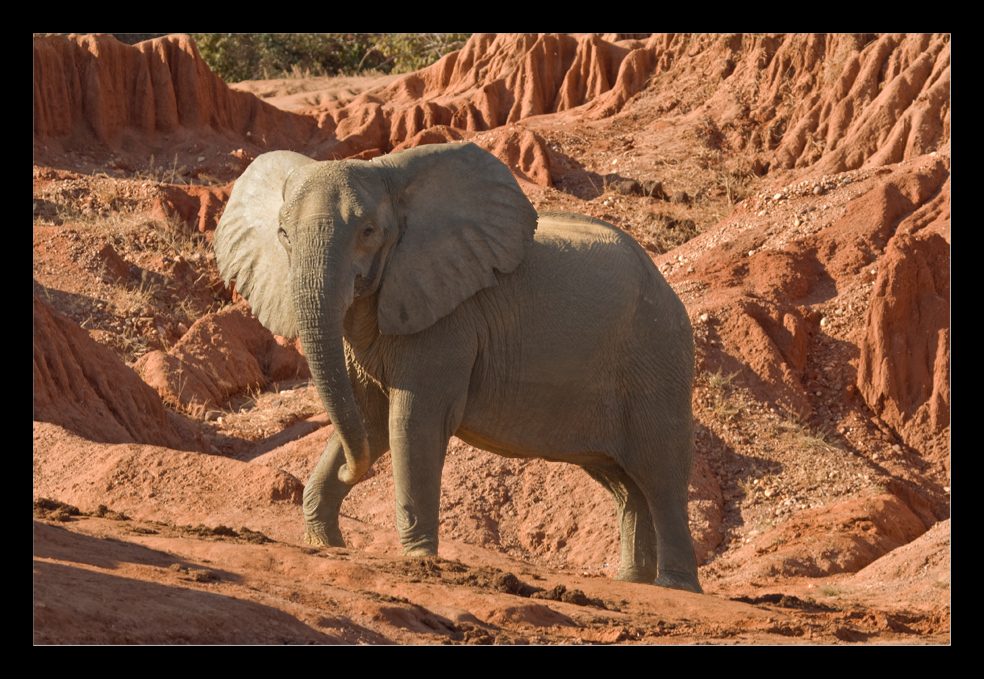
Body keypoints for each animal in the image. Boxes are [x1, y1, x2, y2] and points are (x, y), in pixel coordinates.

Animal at [218, 143, 704, 596]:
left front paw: (417, 559)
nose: (350, 474)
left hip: (657, 357)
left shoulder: (448, 322)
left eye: (369, 231)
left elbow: (410, 422)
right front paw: (324, 543)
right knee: (624, 483)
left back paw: (675, 587)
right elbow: (368, 422)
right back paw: (632, 582)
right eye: (282, 233)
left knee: (659, 471)